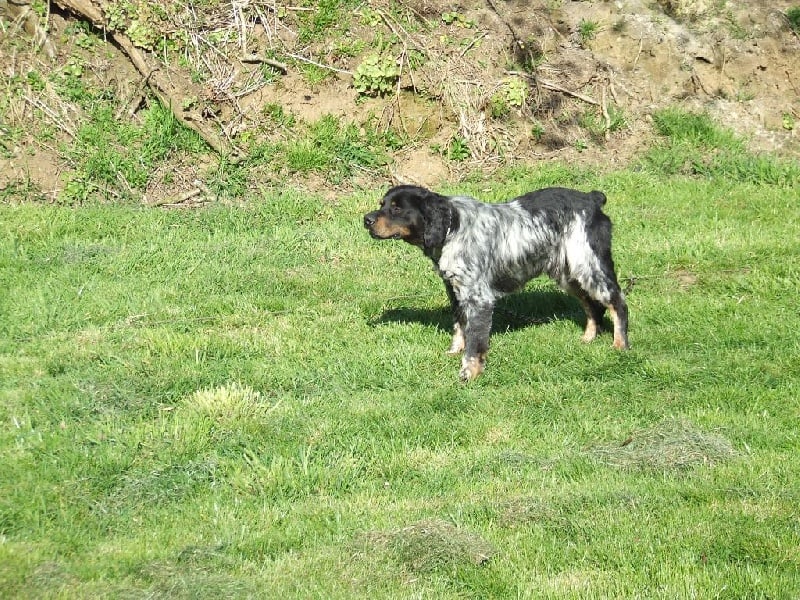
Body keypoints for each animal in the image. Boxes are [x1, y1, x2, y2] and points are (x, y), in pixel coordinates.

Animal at [363, 185, 629, 381]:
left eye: (397, 208)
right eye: (382, 204)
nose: (366, 220)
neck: (453, 228)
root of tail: (592, 199)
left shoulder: (479, 298)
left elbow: (475, 341)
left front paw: (469, 372)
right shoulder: (456, 292)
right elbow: (460, 327)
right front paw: (454, 351)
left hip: (589, 265)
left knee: (618, 302)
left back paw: (620, 345)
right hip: (569, 273)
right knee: (593, 306)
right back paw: (588, 338)